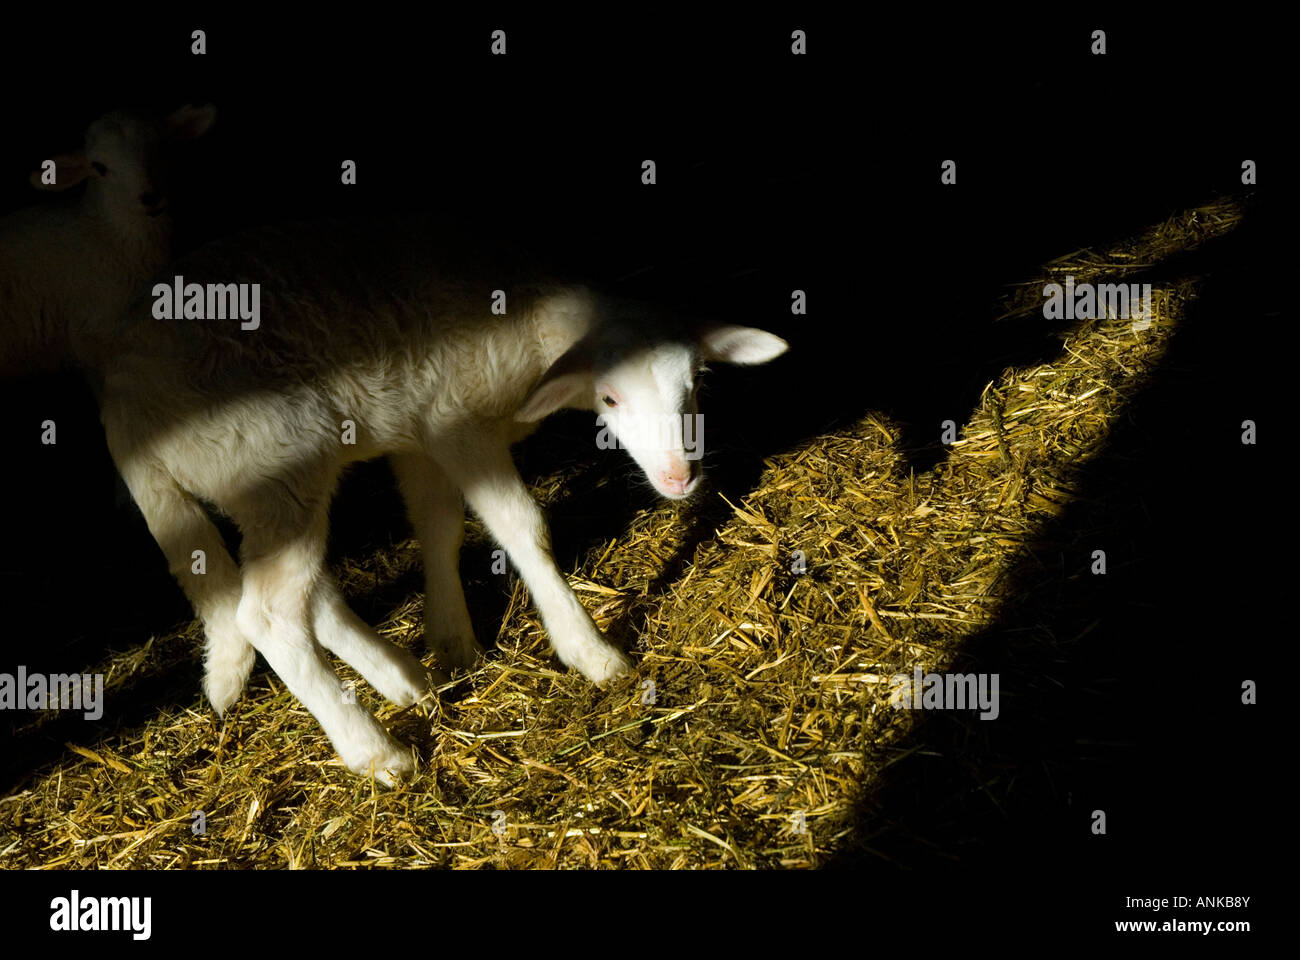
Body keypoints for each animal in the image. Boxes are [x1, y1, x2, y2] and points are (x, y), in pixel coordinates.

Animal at [101, 221, 785, 780]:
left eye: (696, 383)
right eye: (610, 398)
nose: (679, 477)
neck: (528, 330)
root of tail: (125, 407)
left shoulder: (418, 429)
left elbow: (439, 525)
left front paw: (452, 641)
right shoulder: (458, 422)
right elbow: (521, 526)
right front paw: (588, 650)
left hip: (264, 480)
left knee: (303, 593)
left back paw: (403, 680)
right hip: (271, 458)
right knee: (266, 614)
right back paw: (374, 751)